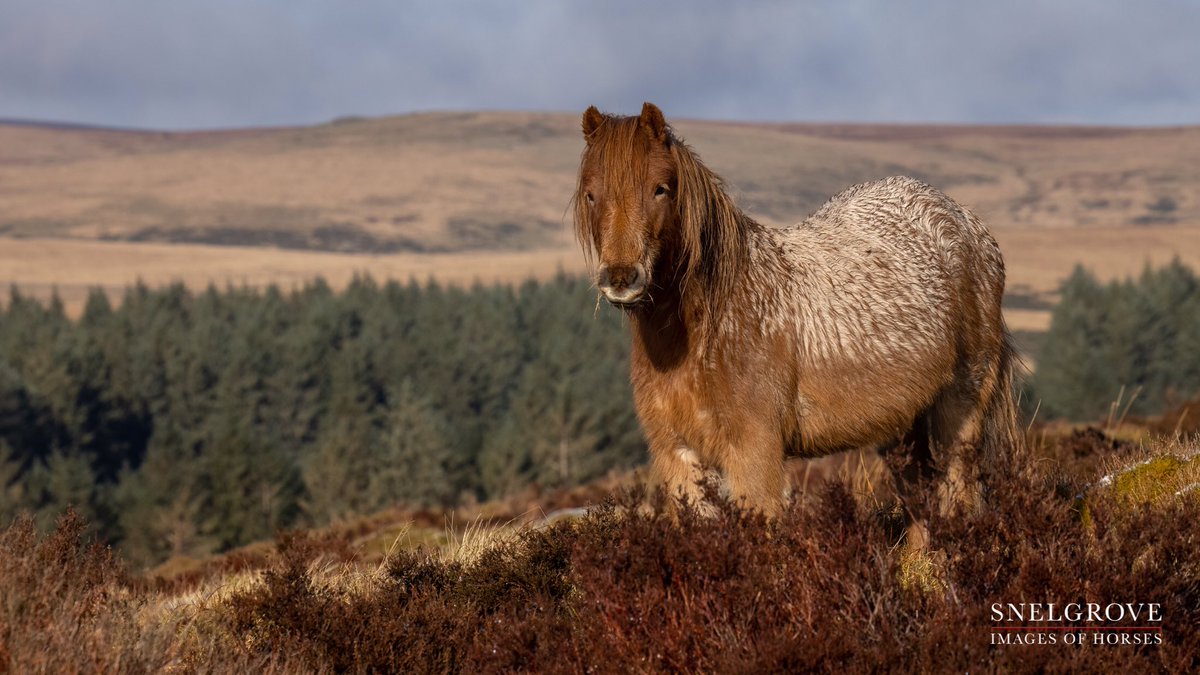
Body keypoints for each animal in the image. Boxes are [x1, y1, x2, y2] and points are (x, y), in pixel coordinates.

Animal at [574, 102, 1021, 539]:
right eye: (592, 195)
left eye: (660, 189)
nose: (621, 278)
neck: (710, 330)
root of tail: (970, 224)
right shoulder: (678, 456)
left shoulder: (754, 455)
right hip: (903, 426)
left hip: (961, 406)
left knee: (956, 495)